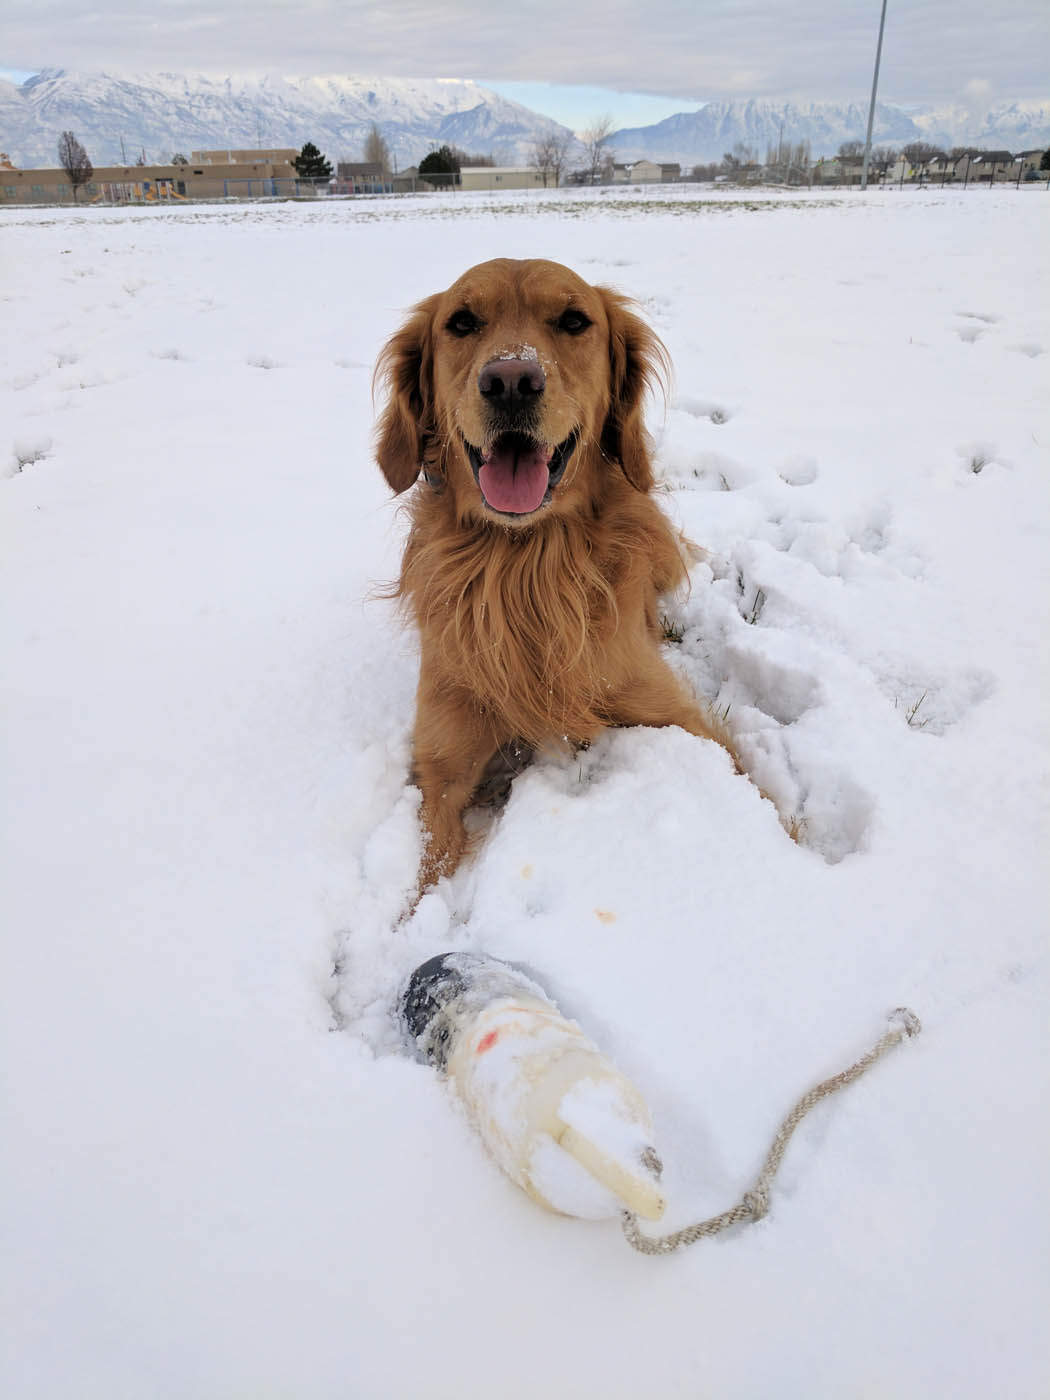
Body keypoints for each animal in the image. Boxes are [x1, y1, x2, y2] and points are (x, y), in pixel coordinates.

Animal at [375, 259, 739, 890]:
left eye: (574, 321)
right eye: (461, 322)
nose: (511, 381)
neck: (526, 565)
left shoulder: (674, 715)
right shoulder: (441, 767)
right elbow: (426, 873)